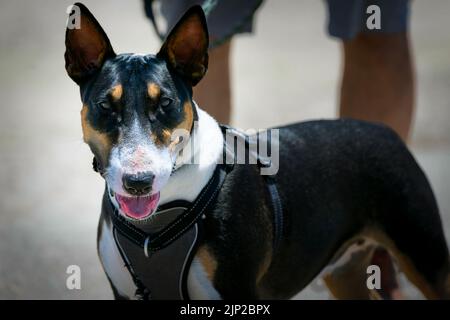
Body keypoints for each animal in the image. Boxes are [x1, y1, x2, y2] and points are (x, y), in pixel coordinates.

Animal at [65, 3, 448, 300]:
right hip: (345, 272)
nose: (138, 182)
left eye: (166, 103)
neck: (158, 219)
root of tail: (381, 129)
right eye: (105, 105)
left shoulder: (235, 291)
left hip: (424, 253)